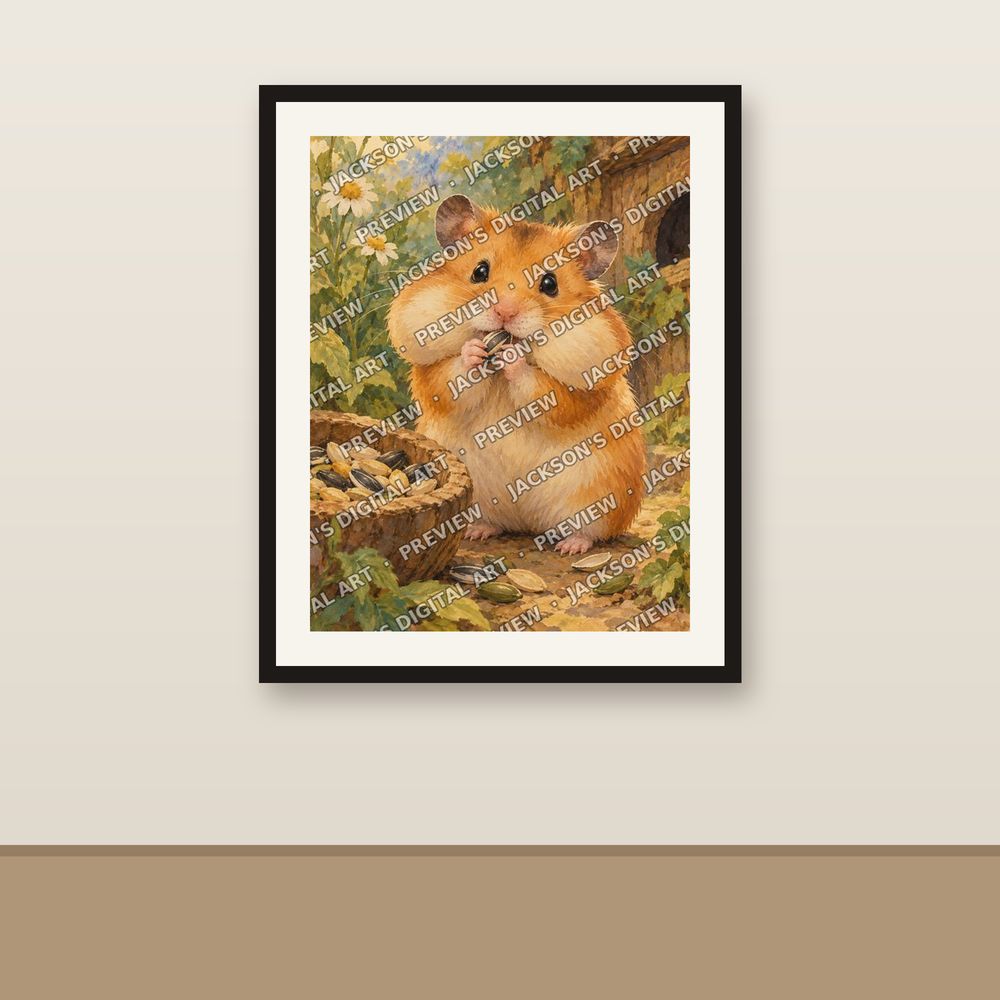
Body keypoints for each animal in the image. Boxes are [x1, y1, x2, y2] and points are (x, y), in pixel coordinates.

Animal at [388, 195, 645, 556]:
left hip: (600, 500)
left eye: (550, 284)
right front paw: (474, 352)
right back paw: (477, 531)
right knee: (495, 522)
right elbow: (449, 378)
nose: (504, 313)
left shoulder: (586, 382)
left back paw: (571, 546)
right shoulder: (430, 371)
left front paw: (514, 357)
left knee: (591, 531)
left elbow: (548, 391)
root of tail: (528, 525)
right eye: (479, 271)